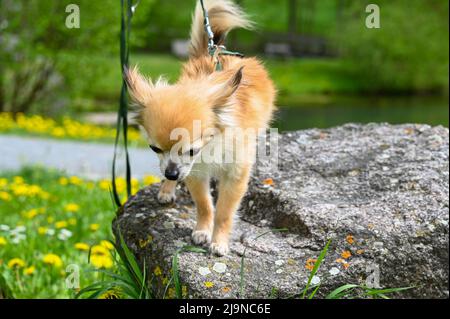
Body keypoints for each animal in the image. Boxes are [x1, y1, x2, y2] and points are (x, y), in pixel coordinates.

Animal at [125, 0, 276, 256]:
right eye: (154, 149)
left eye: (191, 150)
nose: (171, 173)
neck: (211, 146)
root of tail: (213, 51)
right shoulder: (193, 171)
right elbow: (205, 204)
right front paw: (203, 231)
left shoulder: (234, 174)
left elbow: (224, 212)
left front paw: (219, 241)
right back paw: (167, 189)